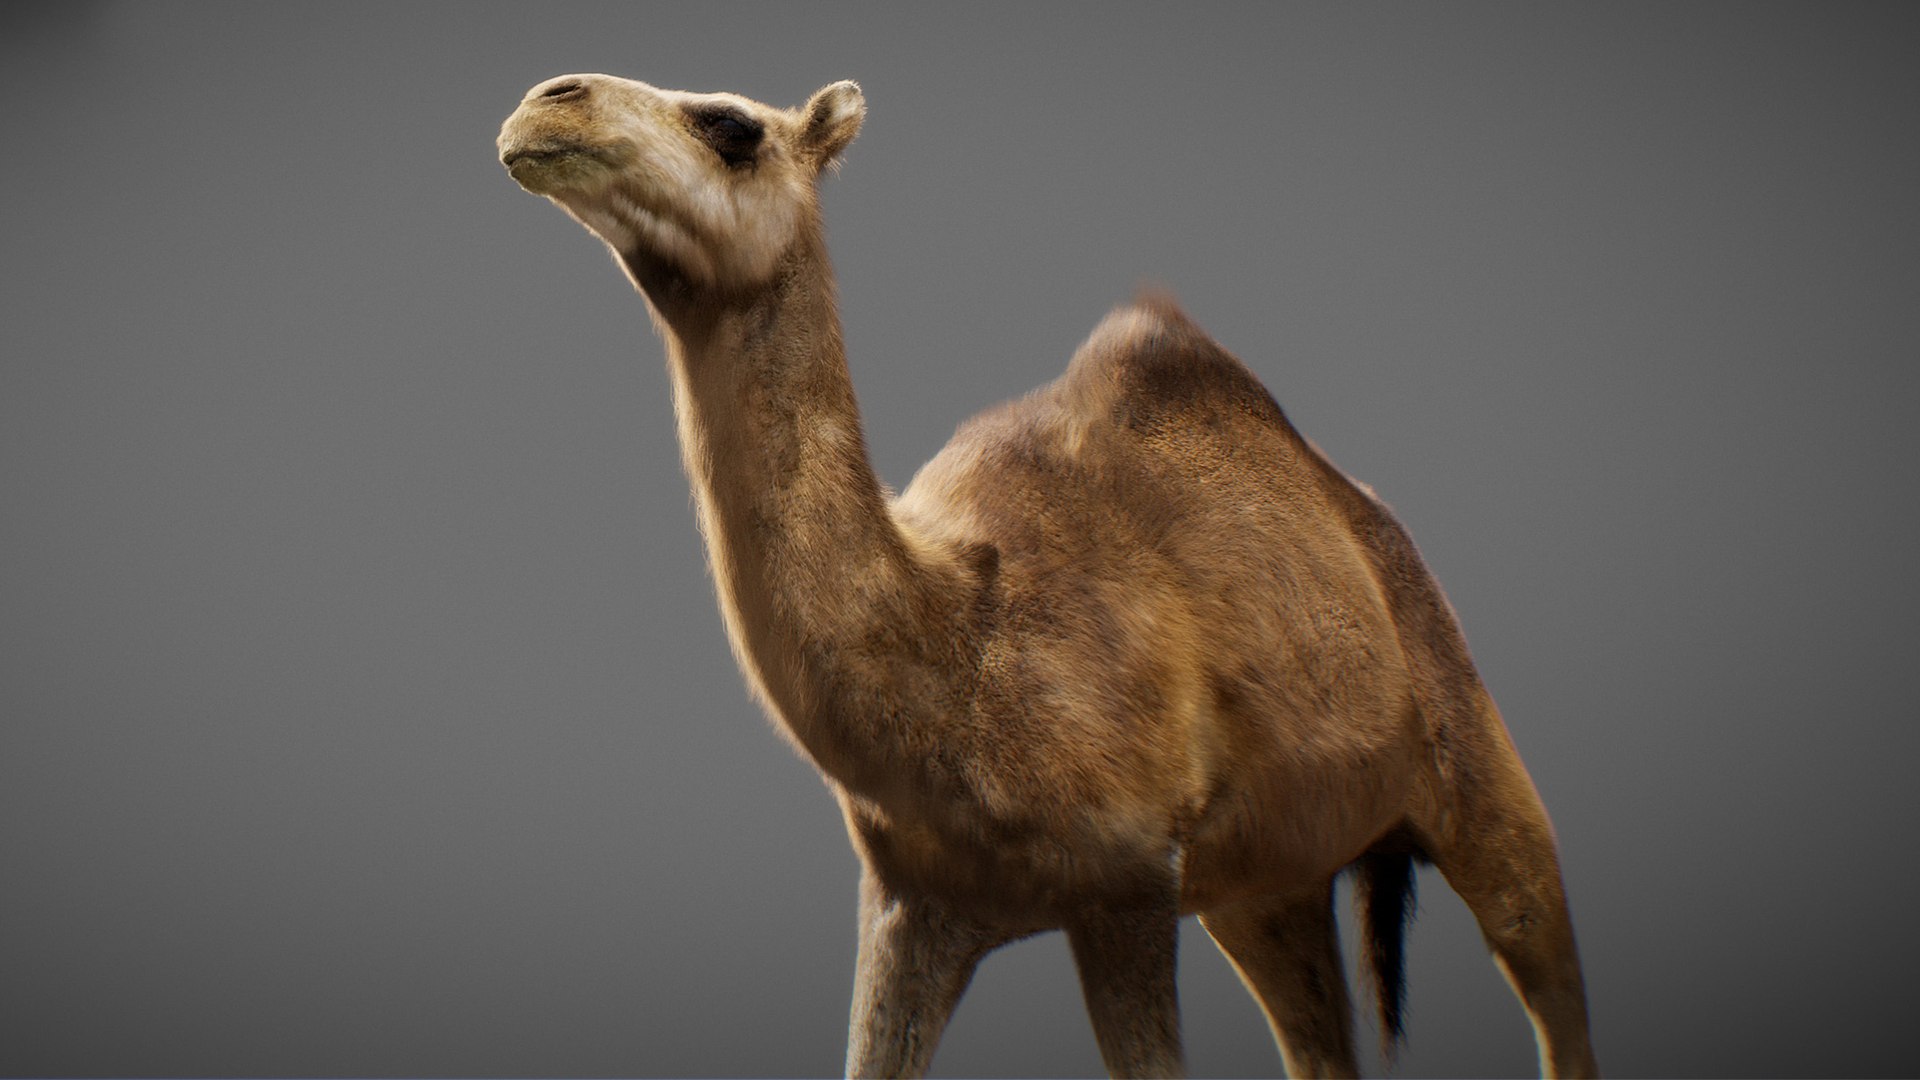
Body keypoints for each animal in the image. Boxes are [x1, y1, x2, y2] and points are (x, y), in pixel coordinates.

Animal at [496, 74, 1598, 1079]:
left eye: (733, 128)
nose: (545, 106)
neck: (962, 644)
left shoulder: (1128, 883)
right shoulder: (914, 908)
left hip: (1470, 753)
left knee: (1545, 958)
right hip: (1262, 884)